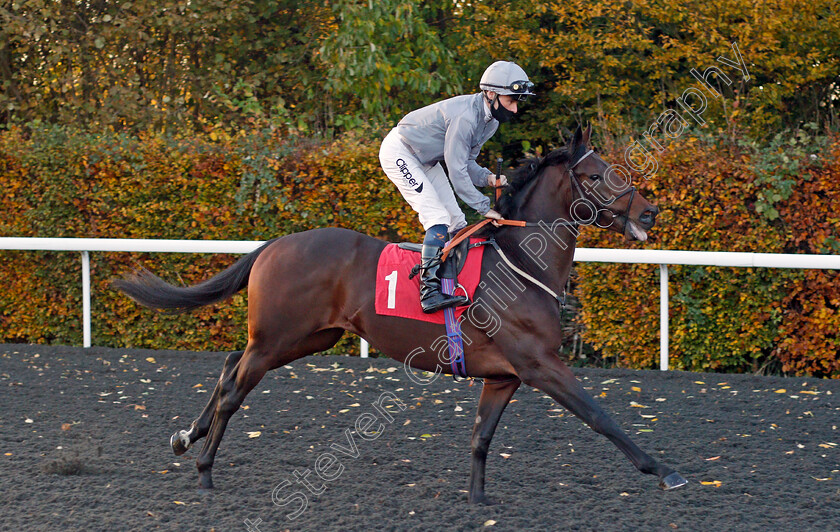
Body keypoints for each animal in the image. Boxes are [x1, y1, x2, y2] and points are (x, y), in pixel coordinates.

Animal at [113, 124, 688, 502]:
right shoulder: (540, 364)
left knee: (231, 364)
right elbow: (600, 416)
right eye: (595, 175)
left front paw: (478, 500)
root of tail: (275, 243)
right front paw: (663, 470)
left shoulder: (504, 375)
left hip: (305, 337)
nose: (649, 212)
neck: (522, 263)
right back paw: (206, 469)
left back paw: (187, 437)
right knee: (235, 388)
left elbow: (481, 437)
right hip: (280, 336)